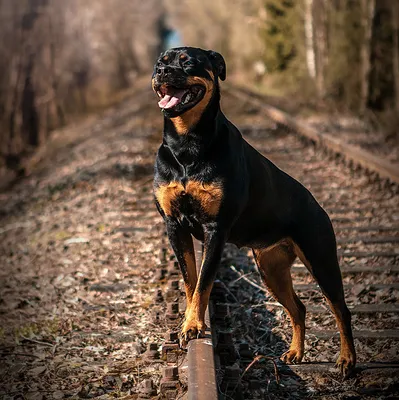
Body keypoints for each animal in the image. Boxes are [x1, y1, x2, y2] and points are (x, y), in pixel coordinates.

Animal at [152, 47, 356, 376]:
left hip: (320, 257)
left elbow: (204, 282)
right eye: (160, 62)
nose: (161, 72)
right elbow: (190, 281)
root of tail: (318, 205)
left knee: (341, 309)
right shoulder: (174, 225)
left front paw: (193, 325)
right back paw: (295, 353)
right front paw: (188, 323)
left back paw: (347, 359)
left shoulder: (216, 229)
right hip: (270, 268)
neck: (185, 142)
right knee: (298, 307)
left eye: (187, 61)